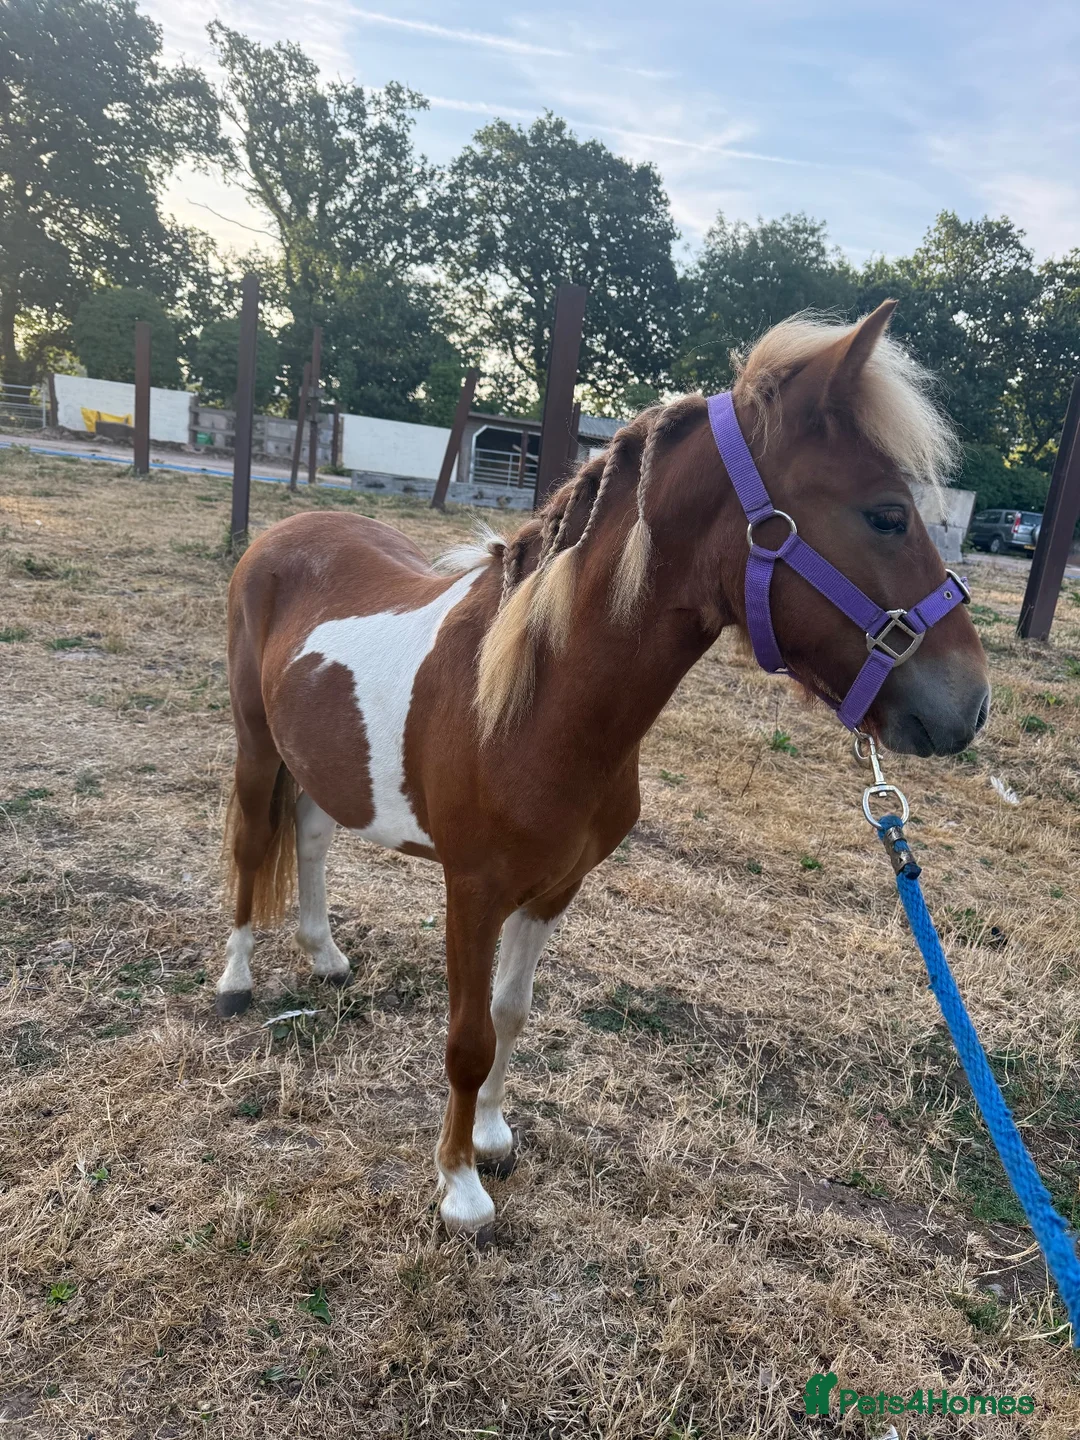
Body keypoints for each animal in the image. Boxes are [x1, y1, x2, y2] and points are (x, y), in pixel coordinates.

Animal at [215, 301, 990, 1234]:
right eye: (885, 516)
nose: (970, 705)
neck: (531, 704)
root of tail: (285, 533)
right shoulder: (472, 891)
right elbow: (467, 1037)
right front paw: (460, 1187)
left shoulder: (554, 888)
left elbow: (511, 1016)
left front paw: (493, 1138)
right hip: (256, 743)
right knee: (251, 847)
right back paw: (234, 980)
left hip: (325, 761)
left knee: (313, 835)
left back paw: (326, 956)